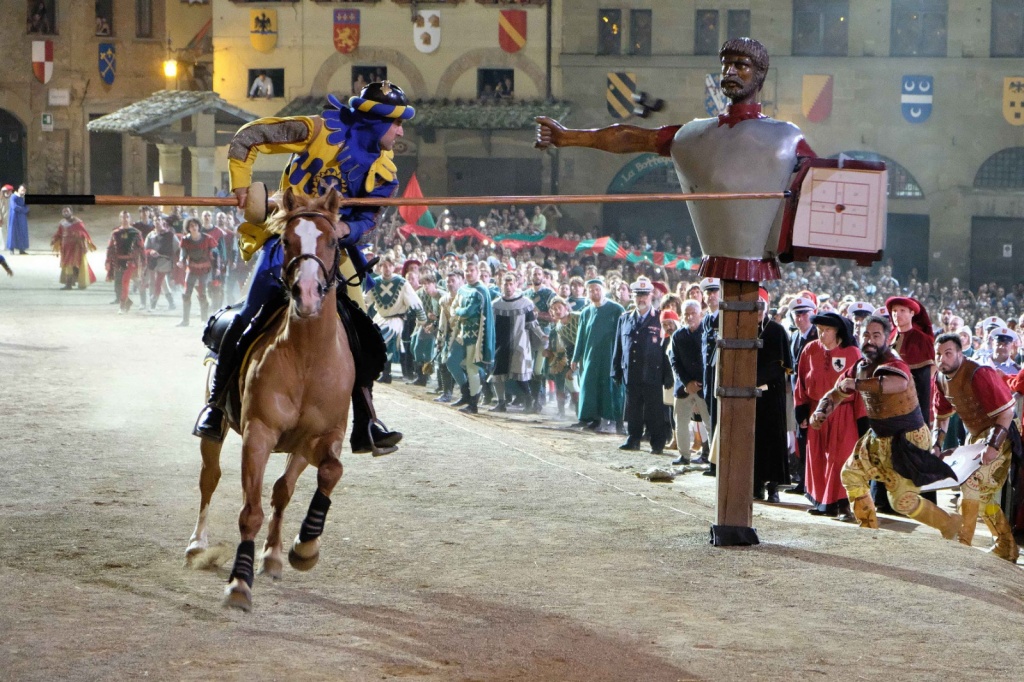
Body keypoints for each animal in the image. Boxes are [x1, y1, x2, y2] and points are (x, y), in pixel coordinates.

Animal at [184, 187, 356, 610]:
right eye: (287, 241)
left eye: (333, 241)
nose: (307, 294)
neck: (307, 358)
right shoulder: (258, 434)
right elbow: (250, 512)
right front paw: (239, 583)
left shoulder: (322, 436)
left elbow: (326, 473)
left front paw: (303, 547)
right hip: (217, 430)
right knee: (209, 478)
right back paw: (198, 545)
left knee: (282, 490)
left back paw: (275, 555)